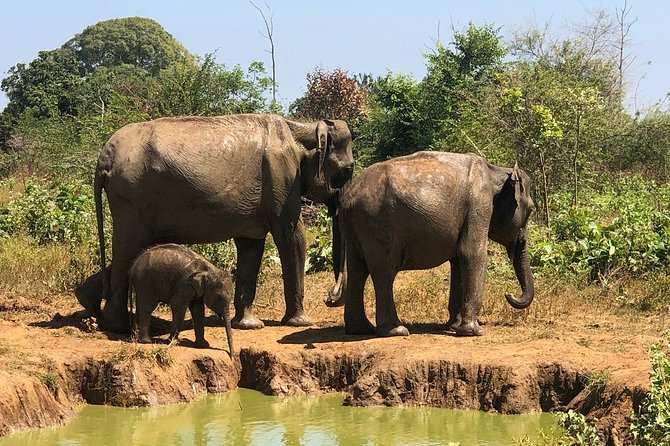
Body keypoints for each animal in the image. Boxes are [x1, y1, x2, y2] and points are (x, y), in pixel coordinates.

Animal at [85, 113, 354, 333]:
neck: (300, 127)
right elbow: (292, 236)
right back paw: (117, 327)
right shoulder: (282, 179)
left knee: (128, 249)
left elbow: (251, 246)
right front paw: (300, 322)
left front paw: (249, 325)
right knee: (128, 248)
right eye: (348, 171)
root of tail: (104, 158)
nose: (329, 299)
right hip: (131, 199)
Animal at [325, 151, 535, 337]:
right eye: (532, 209)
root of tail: (345, 200)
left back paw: (360, 330)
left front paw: (453, 326)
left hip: (356, 229)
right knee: (384, 271)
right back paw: (396, 331)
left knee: (357, 271)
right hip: (376, 224)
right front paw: (473, 332)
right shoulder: (479, 203)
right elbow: (472, 253)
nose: (509, 294)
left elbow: (457, 260)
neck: (497, 171)